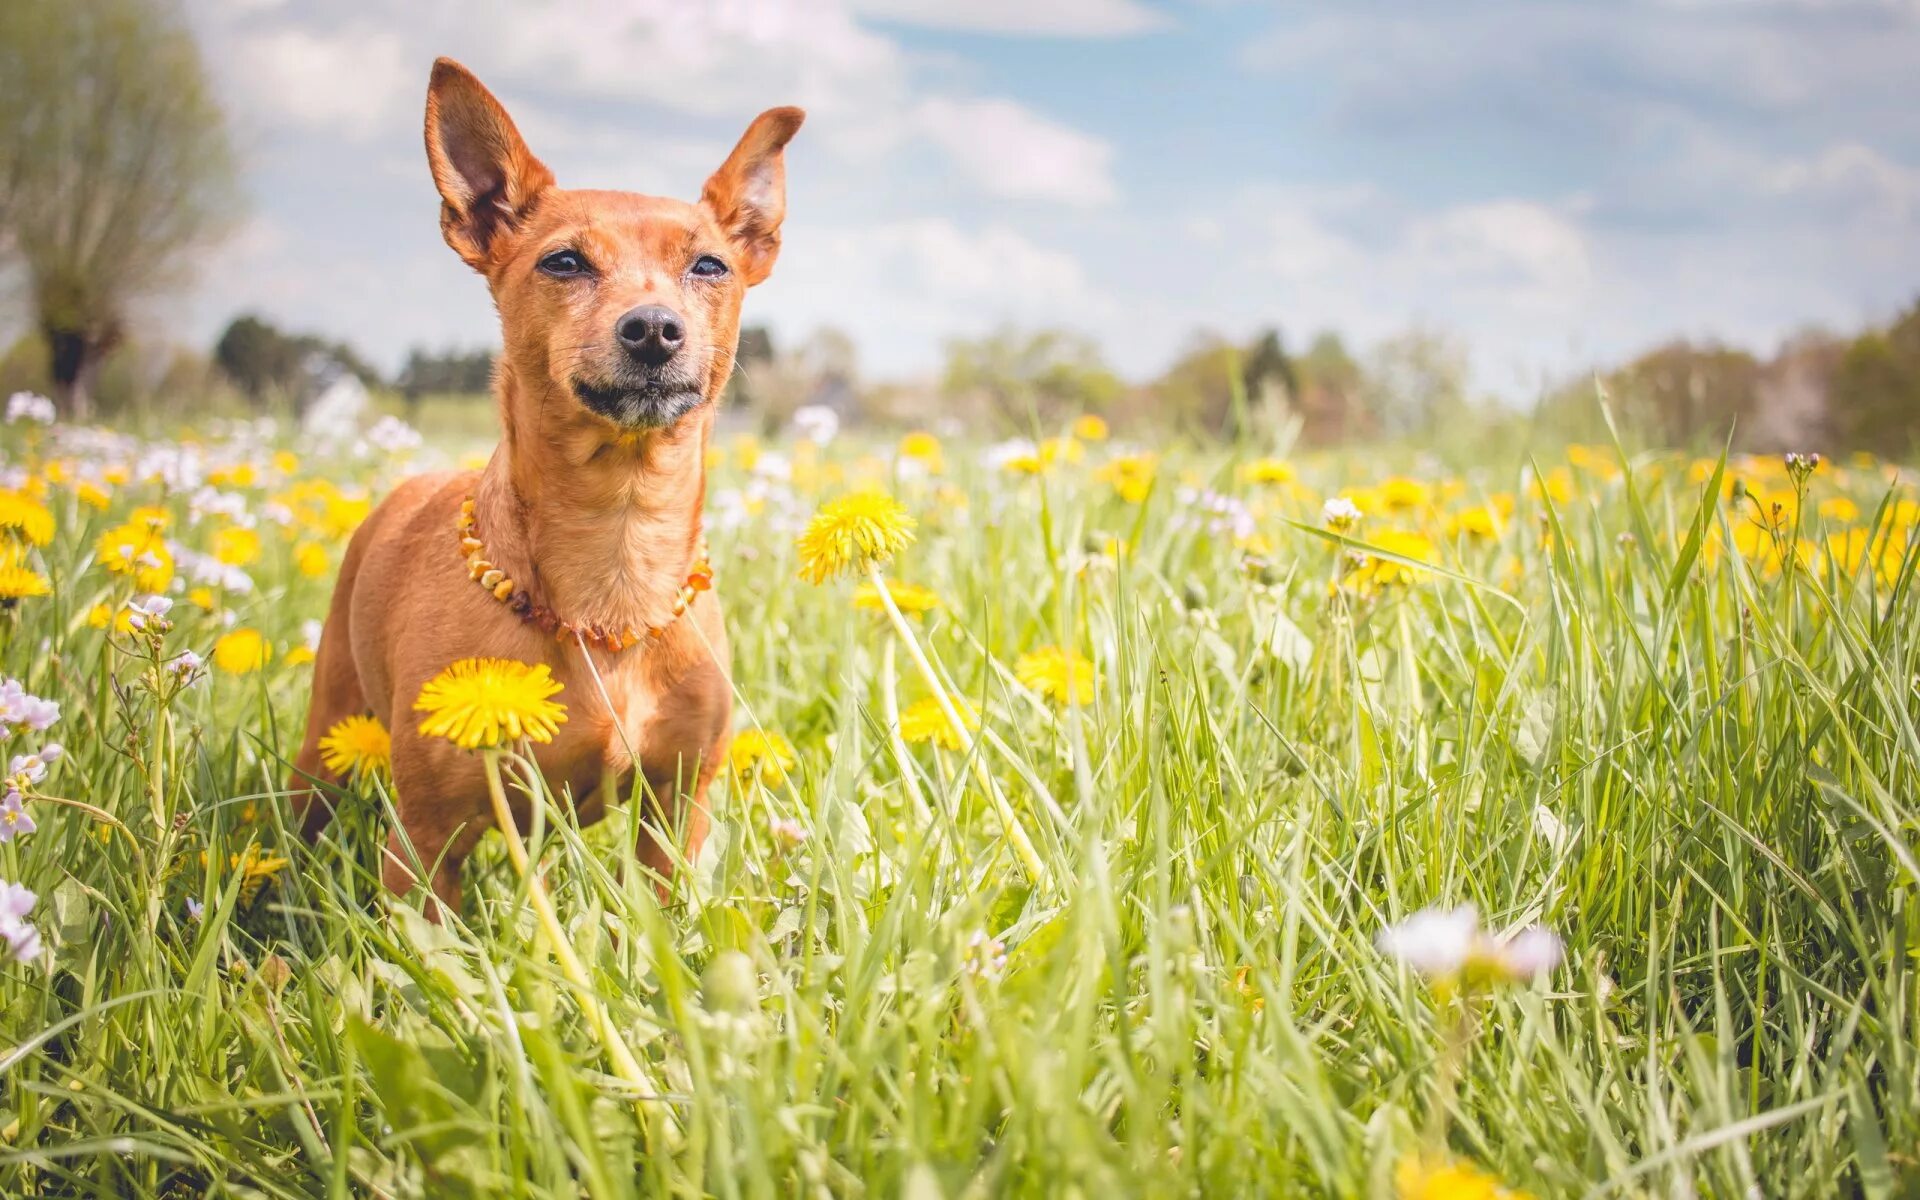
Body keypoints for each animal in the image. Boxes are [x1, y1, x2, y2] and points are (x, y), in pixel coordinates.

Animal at [289, 58, 802, 917]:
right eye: (564, 262)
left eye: (709, 266)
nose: (654, 328)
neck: (619, 551)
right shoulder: (425, 841)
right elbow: (430, 948)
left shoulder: (676, 813)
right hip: (327, 738)